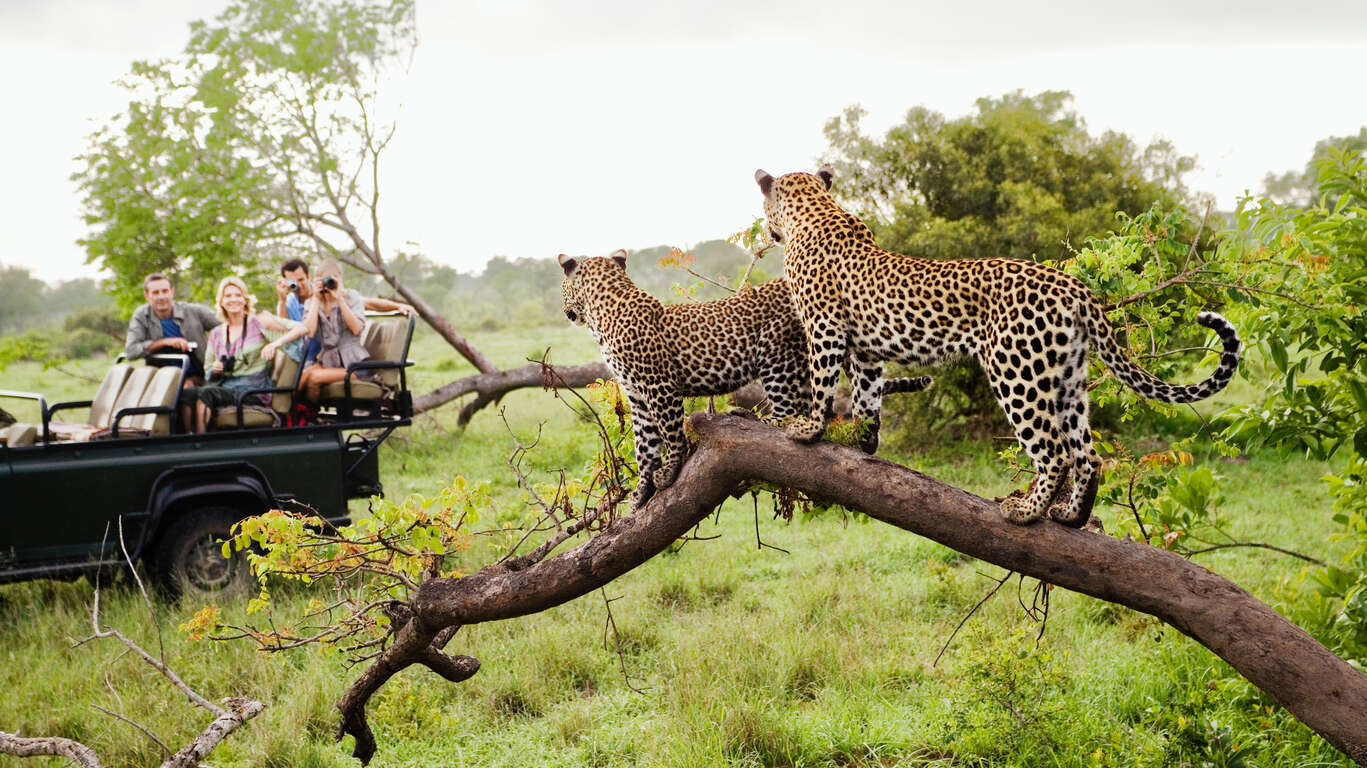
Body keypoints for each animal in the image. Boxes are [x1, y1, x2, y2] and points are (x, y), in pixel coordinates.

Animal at [555, 248, 929, 505]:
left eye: (562, 287)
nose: (564, 311)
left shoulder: (659, 387)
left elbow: (671, 434)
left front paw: (670, 471)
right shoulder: (636, 394)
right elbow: (644, 445)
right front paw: (641, 491)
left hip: (777, 355)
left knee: (789, 410)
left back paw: (755, 418)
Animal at [754, 166, 1246, 524]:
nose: (767, 230)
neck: (815, 209)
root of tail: (1075, 287)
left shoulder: (824, 328)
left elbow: (823, 384)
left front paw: (808, 429)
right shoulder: (868, 351)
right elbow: (867, 396)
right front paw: (863, 442)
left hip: (1016, 372)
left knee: (1055, 452)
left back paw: (1026, 511)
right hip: (1067, 378)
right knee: (1088, 455)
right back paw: (1070, 515)